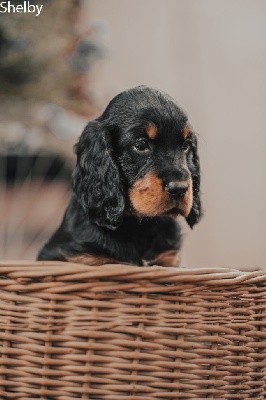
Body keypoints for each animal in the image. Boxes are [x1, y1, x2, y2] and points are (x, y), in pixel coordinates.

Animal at [38, 86, 202, 268]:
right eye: (141, 145)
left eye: (186, 146)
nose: (179, 188)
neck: (140, 226)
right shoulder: (77, 256)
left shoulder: (169, 260)